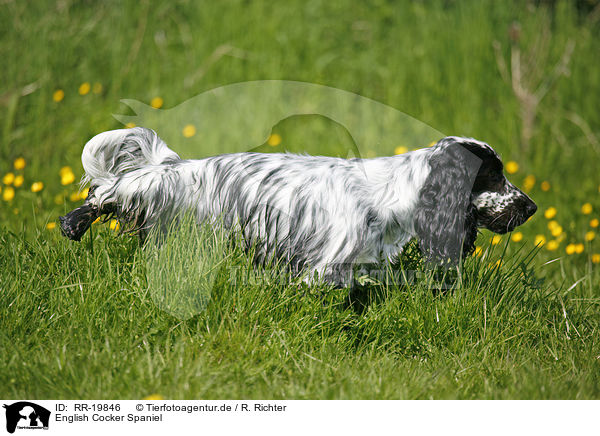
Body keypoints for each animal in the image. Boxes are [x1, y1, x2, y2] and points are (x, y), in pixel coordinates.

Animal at [61, 127, 536, 288]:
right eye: (493, 176)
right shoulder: (324, 267)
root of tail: (180, 167)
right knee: (109, 192)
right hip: (157, 190)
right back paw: (73, 224)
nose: (531, 207)